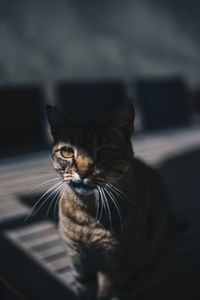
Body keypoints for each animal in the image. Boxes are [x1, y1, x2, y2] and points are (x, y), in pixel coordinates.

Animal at [46, 102, 174, 298]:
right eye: (67, 151)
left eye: (106, 152)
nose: (82, 172)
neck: (88, 216)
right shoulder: (80, 262)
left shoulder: (125, 267)